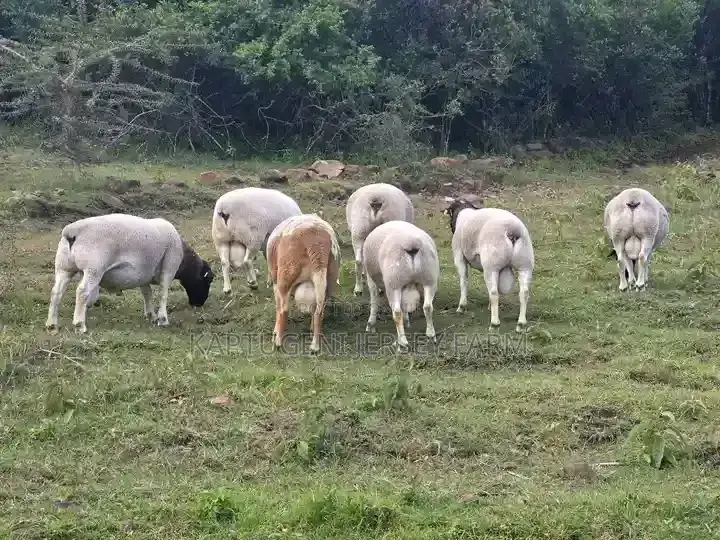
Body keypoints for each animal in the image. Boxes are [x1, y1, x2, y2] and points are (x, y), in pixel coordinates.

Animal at [45, 213, 214, 333]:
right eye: (209, 280)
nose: (198, 304)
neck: (184, 258)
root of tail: (72, 231)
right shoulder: (169, 268)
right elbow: (163, 294)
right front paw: (163, 319)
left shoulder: (144, 274)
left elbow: (147, 294)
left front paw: (151, 315)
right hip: (94, 268)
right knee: (82, 292)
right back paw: (80, 325)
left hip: (64, 268)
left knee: (56, 292)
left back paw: (51, 324)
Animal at [266, 213, 341, 354]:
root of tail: (316, 242)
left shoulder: (275, 282)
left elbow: (278, 306)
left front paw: (275, 332)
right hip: (329, 279)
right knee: (319, 311)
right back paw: (314, 346)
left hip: (286, 276)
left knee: (284, 310)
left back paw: (277, 342)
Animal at [362, 220, 439, 351]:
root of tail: (411, 242)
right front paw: (407, 320)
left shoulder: (370, 277)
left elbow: (374, 299)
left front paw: (370, 324)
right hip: (429, 278)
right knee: (428, 307)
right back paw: (430, 335)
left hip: (393, 283)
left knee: (396, 313)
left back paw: (403, 342)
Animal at [443, 198, 534, 333]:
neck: (463, 213)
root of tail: (512, 230)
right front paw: (490, 307)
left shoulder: (459, 256)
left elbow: (463, 281)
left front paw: (461, 307)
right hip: (525, 264)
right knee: (524, 292)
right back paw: (521, 323)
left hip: (492, 265)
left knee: (494, 293)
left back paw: (494, 323)